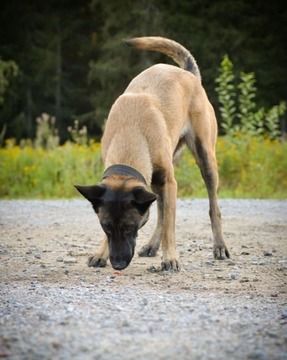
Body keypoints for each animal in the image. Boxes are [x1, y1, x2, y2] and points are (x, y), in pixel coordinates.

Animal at [75, 37, 231, 272]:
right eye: (106, 227)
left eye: (129, 227)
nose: (118, 264)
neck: (130, 131)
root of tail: (189, 74)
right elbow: (160, 216)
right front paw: (101, 252)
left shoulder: (170, 182)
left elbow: (169, 225)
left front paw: (170, 258)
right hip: (158, 181)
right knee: (160, 211)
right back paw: (152, 246)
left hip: (206, 160)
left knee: (214, 208)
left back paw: (219, 246)